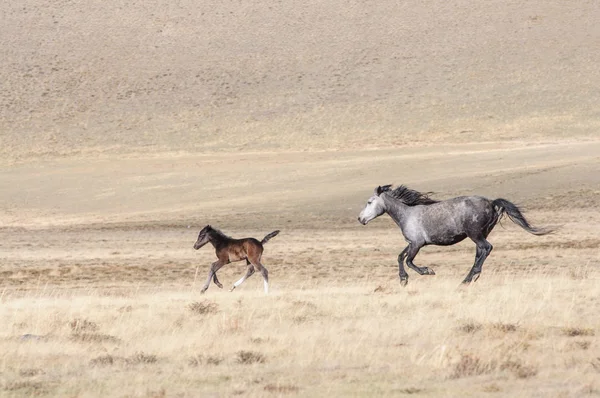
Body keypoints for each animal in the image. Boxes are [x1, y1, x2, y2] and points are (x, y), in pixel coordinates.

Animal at [358, 185, 552, 284]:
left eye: (369, 202)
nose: (360, 219)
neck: (407, 213)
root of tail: (491, 203)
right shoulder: (412, 243)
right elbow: (400, 257)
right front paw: (403, 279)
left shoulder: (417, 244)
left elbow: (409, 261)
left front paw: (427, 271)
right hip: (481, 234)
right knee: (480, 253)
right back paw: (469, 278)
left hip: (475, 234)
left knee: (487, 248)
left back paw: (471, 277)